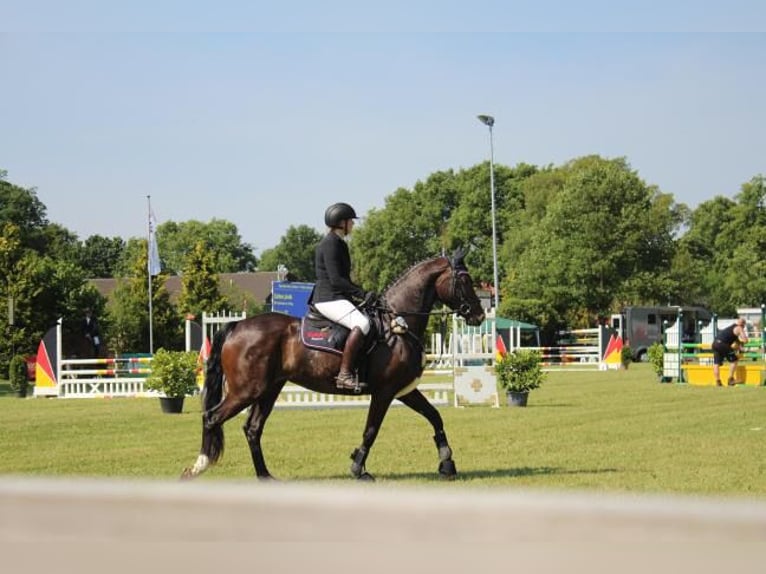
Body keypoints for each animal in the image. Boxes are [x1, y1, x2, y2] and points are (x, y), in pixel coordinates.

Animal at [182, 250, 486, 484]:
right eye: (465, 280)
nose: (479, 315)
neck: (398, 323)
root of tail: (237, 326)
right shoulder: (385, 392)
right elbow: (371, 430)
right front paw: (358, 468)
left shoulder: (404, 390)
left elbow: (435, 416)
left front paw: (447, 463)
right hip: (246, 390)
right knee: (212, 417)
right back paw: (197, 467)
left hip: (269, 390)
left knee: (252, 429)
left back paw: (265, 476)